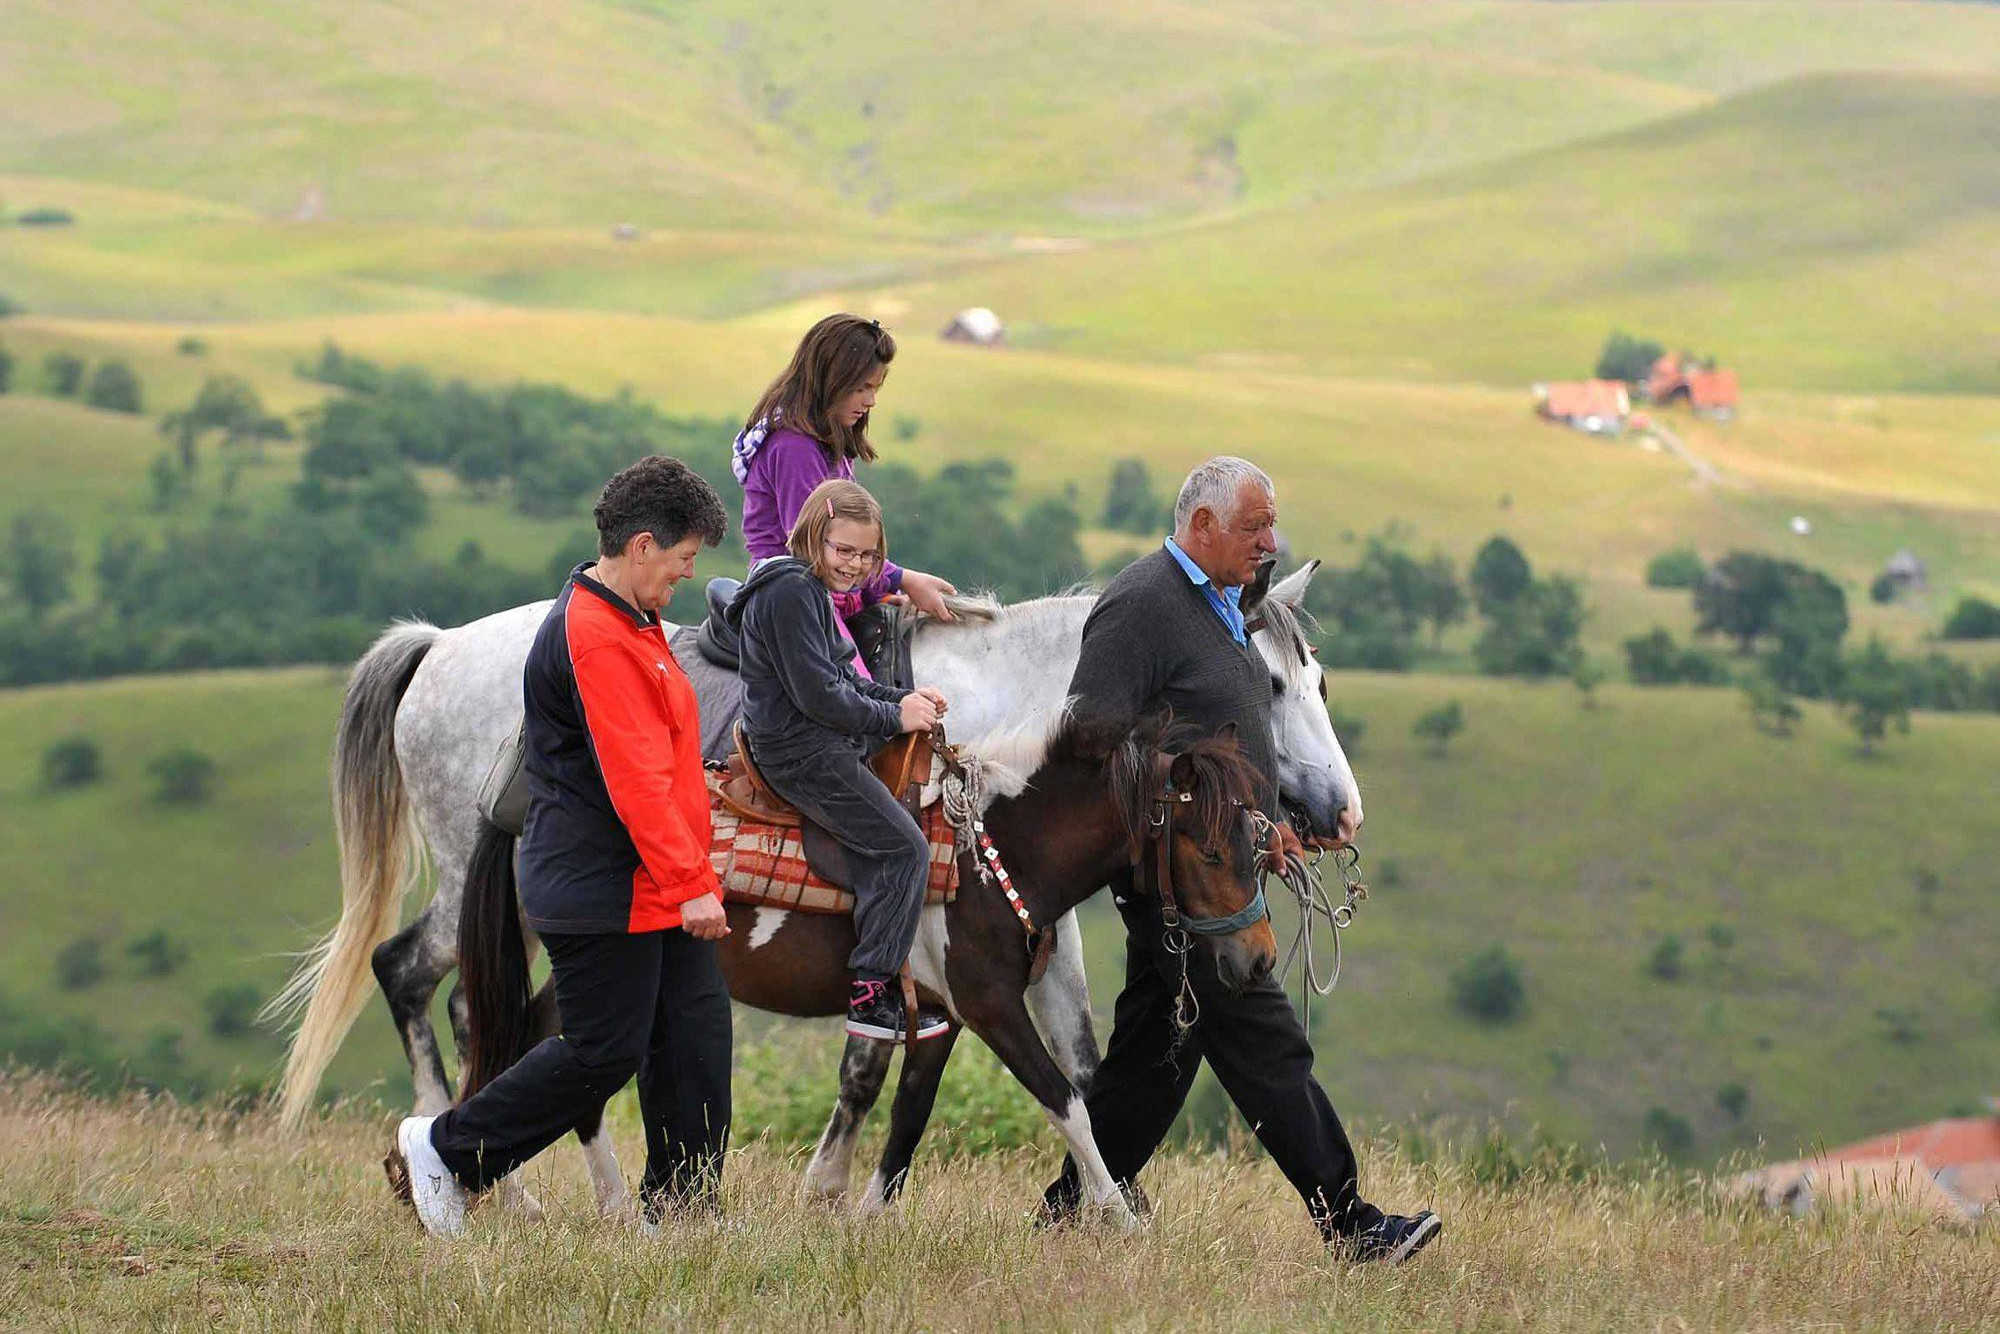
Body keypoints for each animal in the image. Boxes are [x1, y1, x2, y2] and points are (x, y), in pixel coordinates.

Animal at [270, 564, 1360, 1224]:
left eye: (1318, 680)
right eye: (1265, 683)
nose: (1336, 812)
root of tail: (437, 645)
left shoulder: (1016, 954)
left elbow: (1066, 1069)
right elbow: (902, 1067)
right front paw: (835, 1188)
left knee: (426, 980)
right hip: (477, 878)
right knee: (443, 990)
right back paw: (490, 1183)